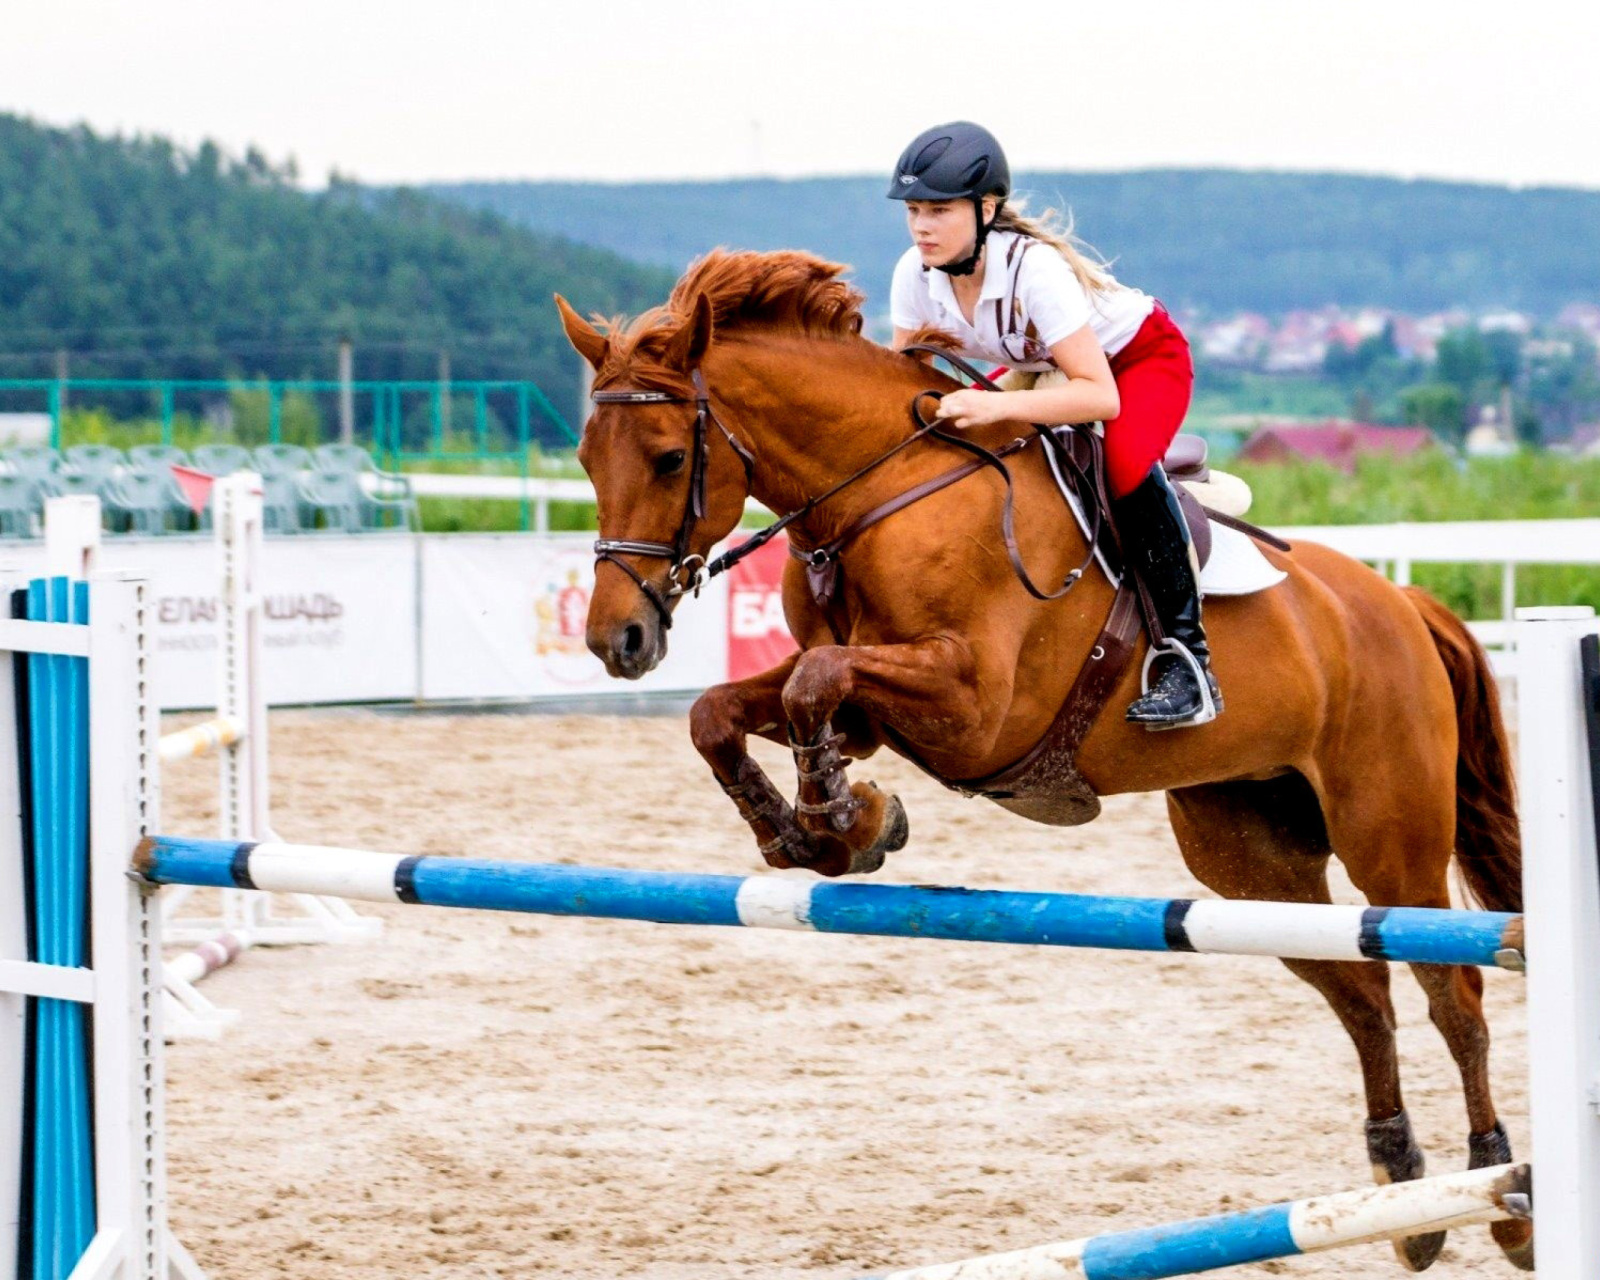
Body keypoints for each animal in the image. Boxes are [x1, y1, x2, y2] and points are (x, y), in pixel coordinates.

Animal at [556, 249, 1529, 1267]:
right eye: (585, 459)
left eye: (670, 458)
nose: (618, 640)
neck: (879, 494)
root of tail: (1402, 606)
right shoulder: (871, 713)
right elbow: (730, 710)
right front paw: (829, 832)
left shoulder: (975, 707)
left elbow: (814, 683)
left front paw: (840, 822)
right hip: (1249, 855)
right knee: (1362, 989)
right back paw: (1406, 1186)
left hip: (1390, 836)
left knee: (1451, 989)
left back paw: (1498, 1192)